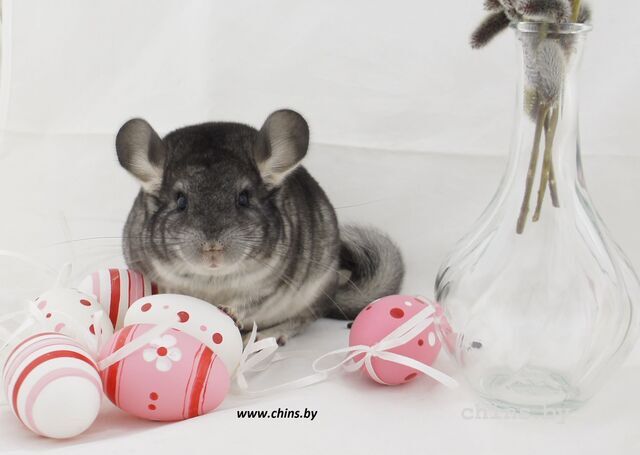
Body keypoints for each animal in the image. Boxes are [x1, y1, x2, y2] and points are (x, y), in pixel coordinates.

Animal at [116, 109, 404, 344]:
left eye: (244, 198)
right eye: (181, 200)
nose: (212, 247)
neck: (213, 280)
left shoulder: (271, 284)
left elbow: (250, 302)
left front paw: (228, 312)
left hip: (315, 291)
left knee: (302, 319)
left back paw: (265, 337)